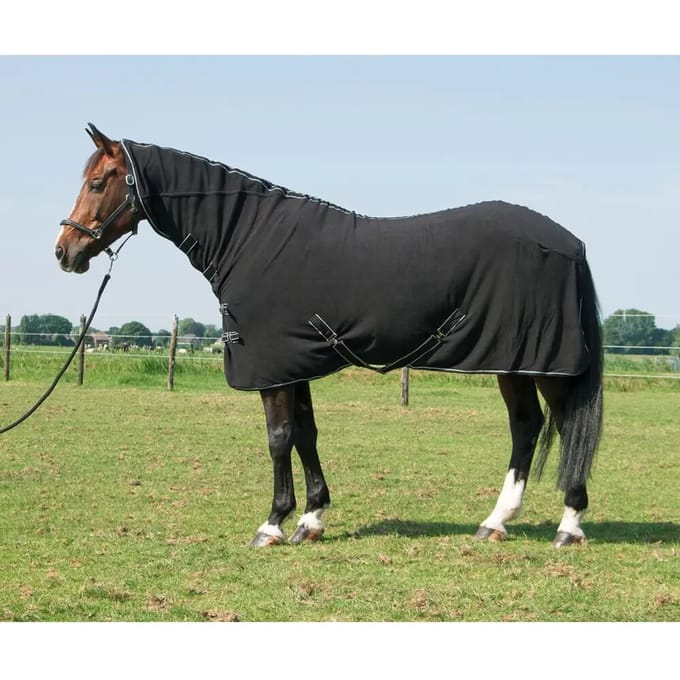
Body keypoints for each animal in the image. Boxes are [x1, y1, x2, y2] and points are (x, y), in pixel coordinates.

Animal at [55, 123, 603, 548]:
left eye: (99, 182)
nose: (65, 251)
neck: (251, 239)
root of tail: (569, 242)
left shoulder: (274, 368)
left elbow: (278, 438)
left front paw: (272, 525)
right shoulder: (294, 362)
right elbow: (305, 434)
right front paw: (311, 519)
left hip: (542, 363)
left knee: (559, 425)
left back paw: (568, 527)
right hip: (515, 363)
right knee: (527, 427)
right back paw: (495, 523)